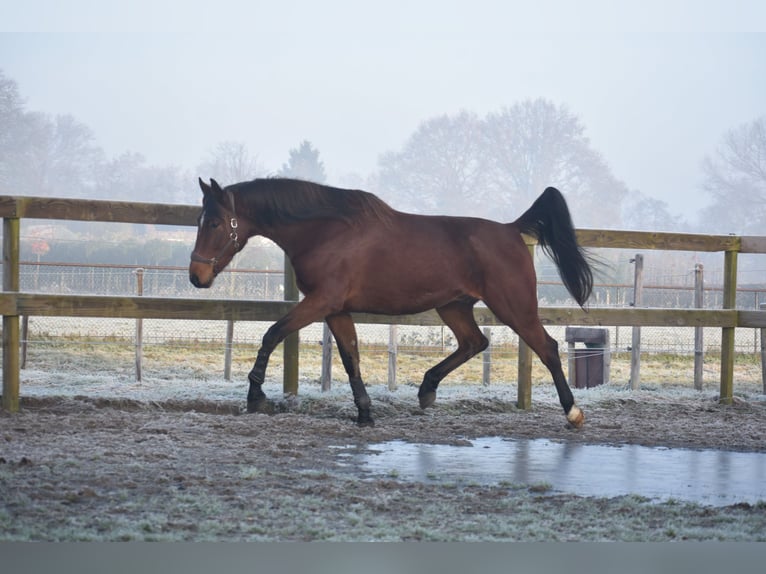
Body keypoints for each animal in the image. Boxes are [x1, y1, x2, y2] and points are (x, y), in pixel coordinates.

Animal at [188, 179, 592, 428]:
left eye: (215, 223)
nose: (196, 276)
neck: (326, 231)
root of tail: (511, 230)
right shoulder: (336, 309)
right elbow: (350, 355)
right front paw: (364, 412)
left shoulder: (321, 302)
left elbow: (272, 334)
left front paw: (255, 396)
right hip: (454, 306)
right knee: (474, 342)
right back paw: (427, 390)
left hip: (514, 308)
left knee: (547, 347)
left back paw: (572, 412)